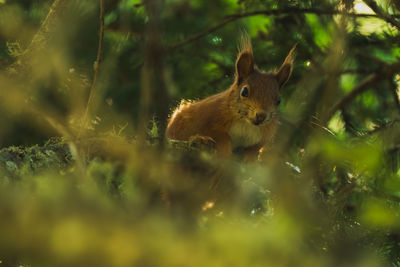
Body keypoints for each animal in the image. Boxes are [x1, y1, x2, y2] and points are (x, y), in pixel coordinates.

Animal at [166, 36, 294, 161]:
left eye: (279, 101)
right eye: (244, 91)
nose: (261, 116)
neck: (246, 123)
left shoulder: (263, 137)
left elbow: (254, 149)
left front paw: (251, 158)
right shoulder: (207, 116)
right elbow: (221, 136)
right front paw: (222, 149)